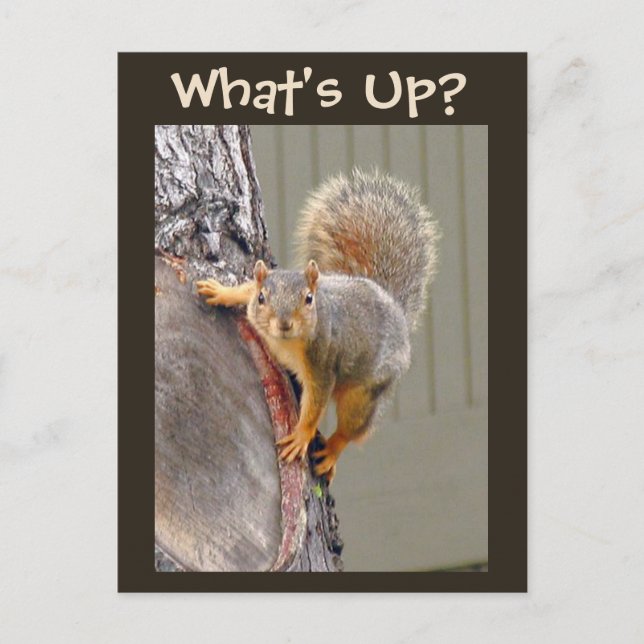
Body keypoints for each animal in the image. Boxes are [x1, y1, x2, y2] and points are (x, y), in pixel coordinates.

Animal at [196, 168, 439, 482]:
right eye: (262, 298)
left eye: (309, 299)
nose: (284, 323)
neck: (285, 343)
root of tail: (395, 308)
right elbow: (244, 288)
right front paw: (221, 292)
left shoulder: (322, 363)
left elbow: (314, 406)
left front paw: (301, 436)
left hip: (365, 393)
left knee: (352, 429)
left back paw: (331, 451)